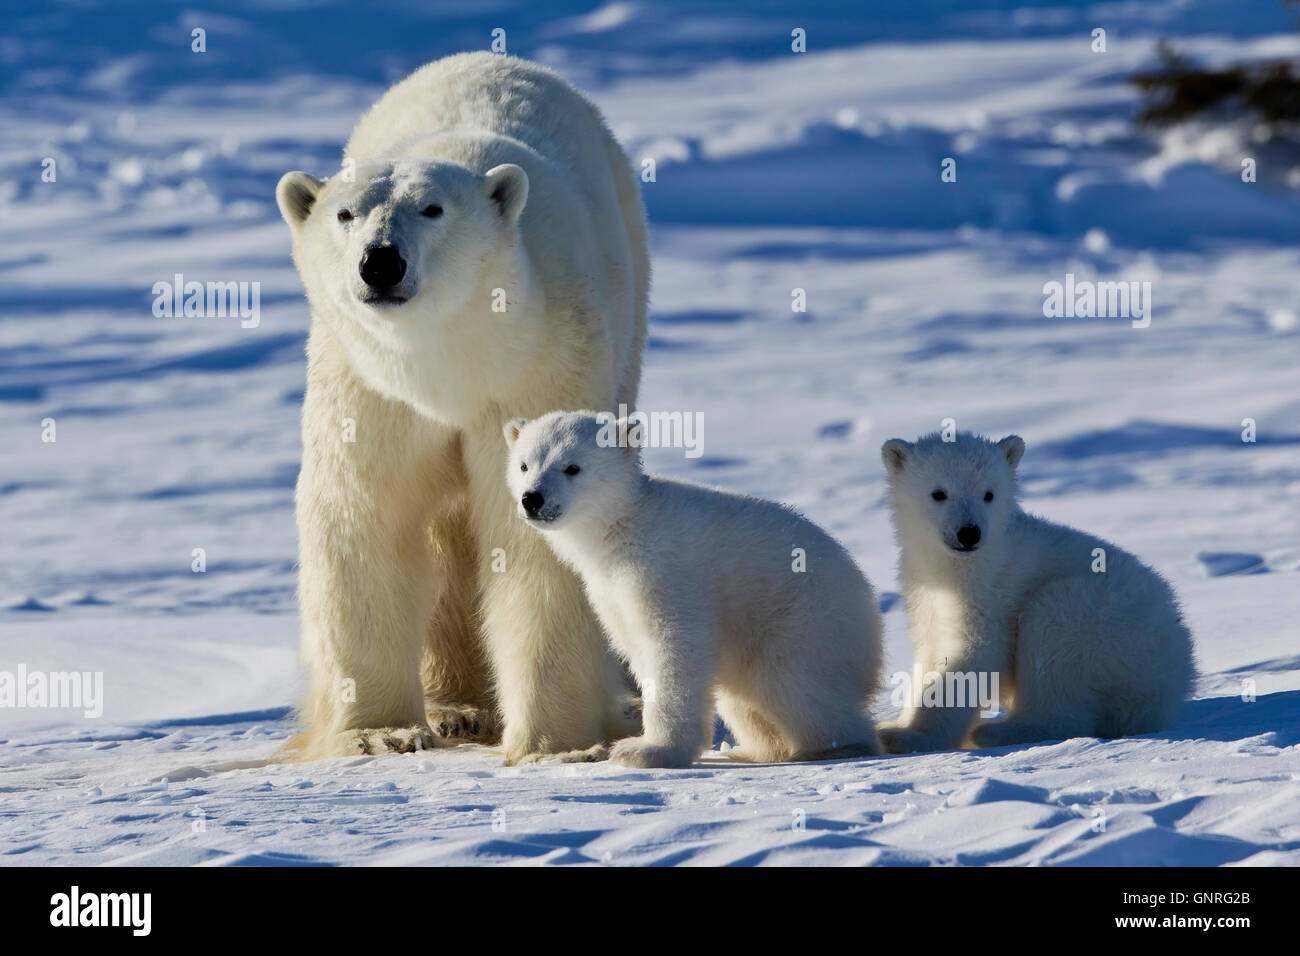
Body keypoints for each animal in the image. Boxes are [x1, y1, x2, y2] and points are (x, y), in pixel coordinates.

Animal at [279, 54, 655, 764]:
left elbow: (535, 533)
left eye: (432, 209)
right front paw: (379, 731)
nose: (380, 261)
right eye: (345, 214)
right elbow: (363, 515)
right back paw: (457, 708)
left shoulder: (542, 361)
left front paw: (555, 742)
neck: (446, 366)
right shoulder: (370, 391)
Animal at [499, 411, 883, 770]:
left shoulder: (666, 571)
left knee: (793, 683)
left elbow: (674, 646)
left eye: (573, 467)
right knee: (745, 700)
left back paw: (833, 747)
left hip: (804, 620)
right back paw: (752, 751)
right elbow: (637, 646)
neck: (625, 526)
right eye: (524, 464)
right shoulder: (610, 591)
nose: (532, 499)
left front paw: (646, 750)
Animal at [878, 434, 1190, 754]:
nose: (969, 533)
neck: (958, 567)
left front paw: (912, 737)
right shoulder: (924, 588)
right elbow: (930, 648)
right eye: (938, 493)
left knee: (1055, 639)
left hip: (1111, 631)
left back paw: (1000, 731)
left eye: (988, 494)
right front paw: (896, 725)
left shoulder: (993, 592)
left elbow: (974, 653)